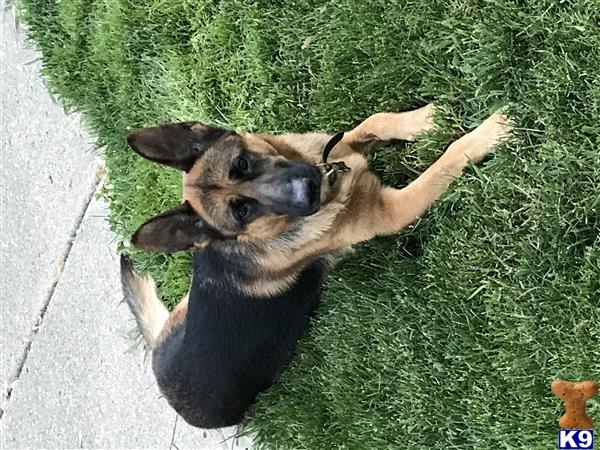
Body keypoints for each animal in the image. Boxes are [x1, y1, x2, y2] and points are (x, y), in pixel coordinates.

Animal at [122, 105, 510, 428]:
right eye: (242, 211)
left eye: (242, 164)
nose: (308, 187)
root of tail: (158, 369)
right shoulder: (393, 209)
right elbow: (446, 160)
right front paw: (487, 133)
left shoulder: (333, 148)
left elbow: (375, 120)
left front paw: (423, 119)